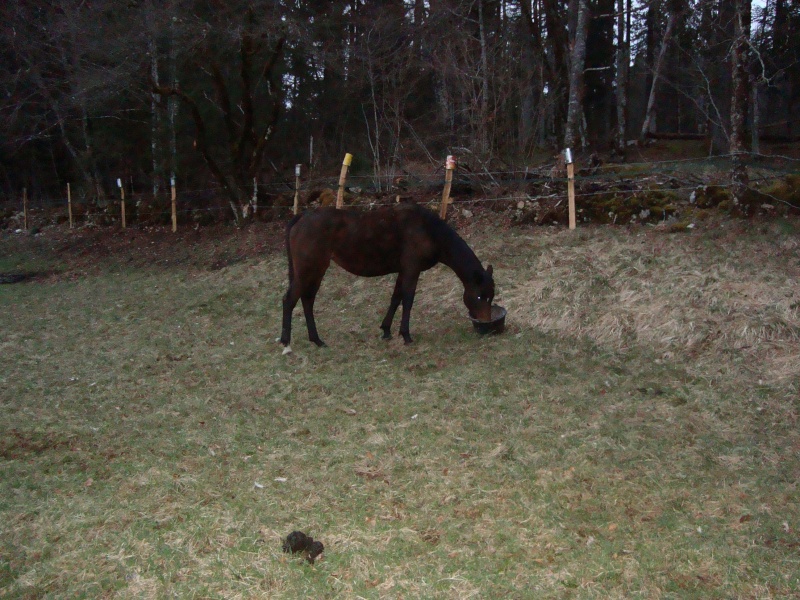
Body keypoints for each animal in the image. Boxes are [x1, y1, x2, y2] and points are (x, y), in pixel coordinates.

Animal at [282, 204, 494, 350]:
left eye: (491, 297)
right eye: (479, 296)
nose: (486, 321)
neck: (428, 230)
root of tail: (302, 216)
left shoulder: (403, 270)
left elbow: (396, 298)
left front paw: (386, 330)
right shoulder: (412, 269)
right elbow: (407, 300)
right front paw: (406, 335)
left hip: (315, 270)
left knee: (307, 300)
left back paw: (316, 340)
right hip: (309, 269)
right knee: (290, 299)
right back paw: (286, 341)